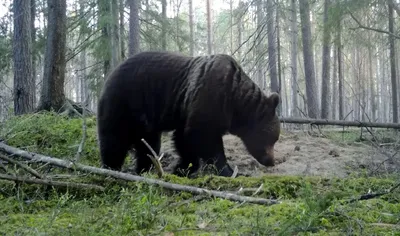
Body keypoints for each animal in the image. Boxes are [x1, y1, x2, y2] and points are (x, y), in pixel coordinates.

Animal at [96, 51, 282, 177]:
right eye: (273, 139)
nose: (271, 161)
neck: (236, 102)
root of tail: (110, 74)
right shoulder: (211, 97)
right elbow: (203, 137)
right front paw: (227, 170)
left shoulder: (187, 110)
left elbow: (184, 139)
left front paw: (182, 168)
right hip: (123, 102)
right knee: (114, 139)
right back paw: (111, 167)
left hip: (145, 121)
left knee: (149, 146)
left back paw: (144, 168)